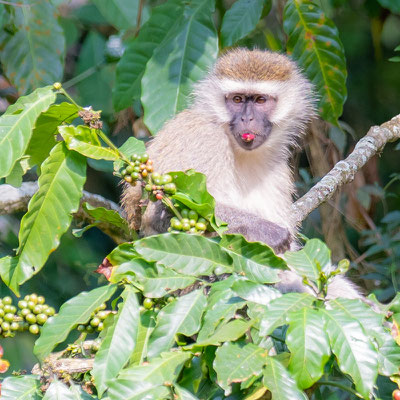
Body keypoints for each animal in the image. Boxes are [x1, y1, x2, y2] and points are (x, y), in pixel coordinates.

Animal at [123, 48, 360, 298]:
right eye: (237, 99)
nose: (247, 118)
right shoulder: (204, 138)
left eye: (260, 100)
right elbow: (160, 213)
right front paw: (267, 232)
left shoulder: (277, 166)